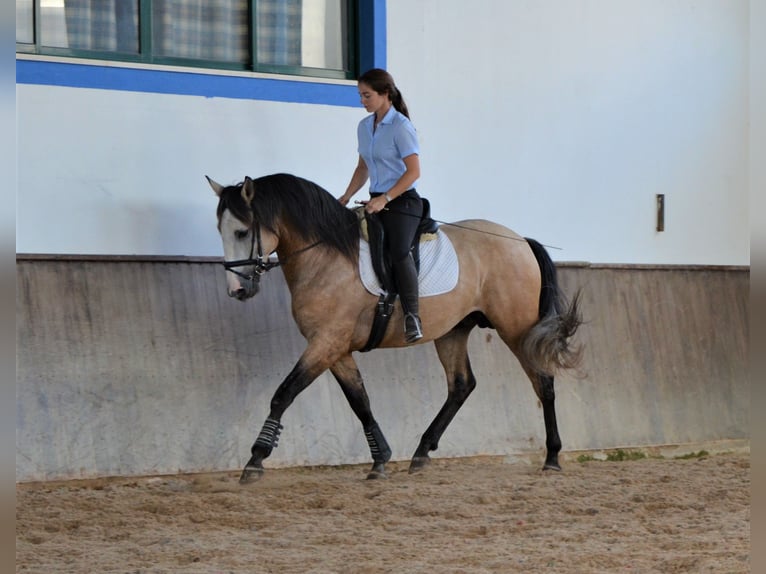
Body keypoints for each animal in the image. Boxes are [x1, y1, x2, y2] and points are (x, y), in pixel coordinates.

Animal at [204, 173, 584, 484]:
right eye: (220, 231)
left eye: (241, 231)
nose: (236, 290)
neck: (326, 257)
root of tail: (520, 240)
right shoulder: (335, 348)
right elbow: (360, 401)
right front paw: (380, 460)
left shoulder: (325, 343)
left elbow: (284, 393)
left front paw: (255, 459)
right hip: (453, 330)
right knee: (461, 385)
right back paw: (421, 453)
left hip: (516, 327)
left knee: (542, 381)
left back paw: (552, 457)